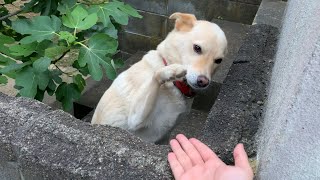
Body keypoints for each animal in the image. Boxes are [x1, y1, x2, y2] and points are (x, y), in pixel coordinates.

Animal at [92, 11, 228, 143]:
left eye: (219, 60)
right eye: (197, 48)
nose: (203, 81)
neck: (176, 86)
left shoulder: (164, 137)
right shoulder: (134, 120)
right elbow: (156, 74)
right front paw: (172, 70)